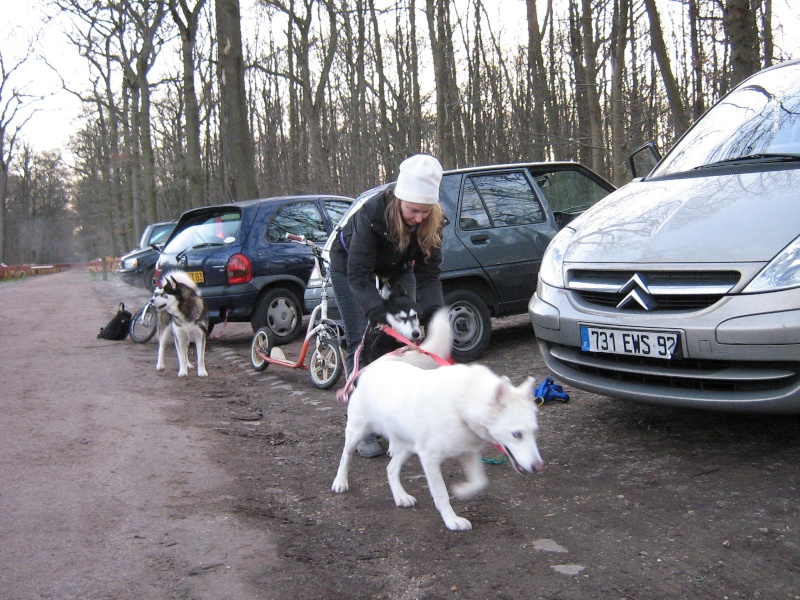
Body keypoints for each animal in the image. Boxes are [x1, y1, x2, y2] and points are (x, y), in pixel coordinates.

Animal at [332, 310, 544, 528]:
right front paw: (451, 519)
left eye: (534, 432)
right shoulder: (429, 459)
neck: (461, 405)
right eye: (516, 434)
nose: (539, 467)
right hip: (357, 431)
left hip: (407, 446)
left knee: (391, 469)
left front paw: (462, 490)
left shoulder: (467, 452)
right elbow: (441, 494)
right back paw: (340, 482)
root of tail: (378, 365)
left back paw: (400, 496)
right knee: (346, 455)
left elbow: (479, 482)